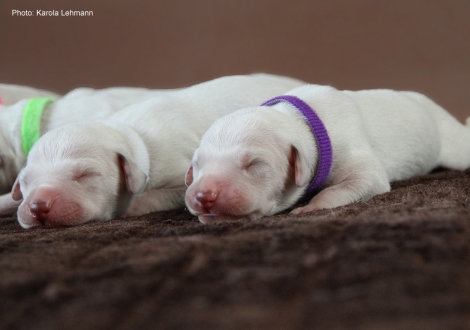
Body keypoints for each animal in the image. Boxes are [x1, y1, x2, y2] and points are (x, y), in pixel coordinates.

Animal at [11, 73, 304, 228]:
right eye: (25, 181)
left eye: (86, 176)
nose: (37, 205)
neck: (132, 136)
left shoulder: (180, 178)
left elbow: (149, 198)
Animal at [185, 84, 470, 223]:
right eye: (197, 164)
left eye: (254, 164)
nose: (203, 195)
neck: (301, 122)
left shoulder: (354, 150)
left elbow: (360, 181)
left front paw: (310, 207)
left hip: (454, 145)